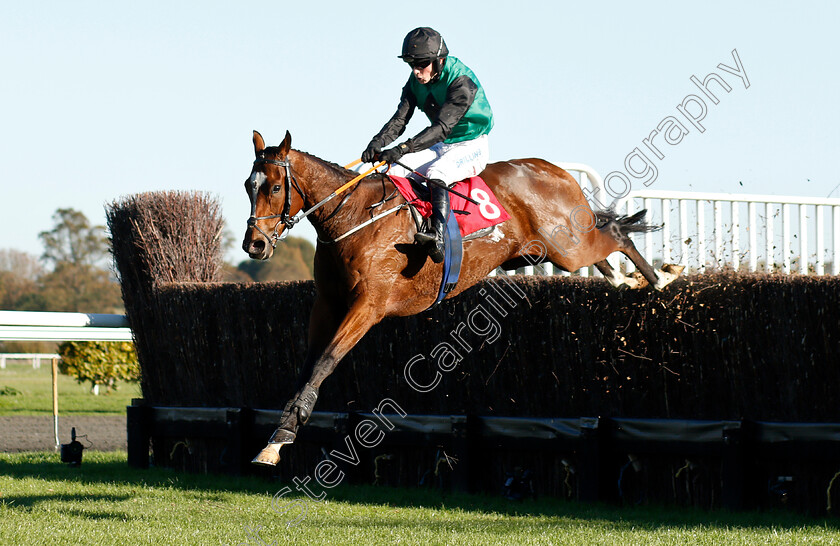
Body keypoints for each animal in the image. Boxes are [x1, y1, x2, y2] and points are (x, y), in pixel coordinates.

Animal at [243, 129, 684, 464]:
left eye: (277, 186)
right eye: (249, 186)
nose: (254, 245)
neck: (354, 216)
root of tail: (556, 170)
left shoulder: (368, 306)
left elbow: (326, 362)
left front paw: (282, 436)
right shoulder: (327, 303)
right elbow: (308, 365)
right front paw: (277, 437)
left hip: (568, 246)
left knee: (618, 234)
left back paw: (661, 277)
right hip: (550, 249)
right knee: (606, 251)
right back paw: (629, 281)